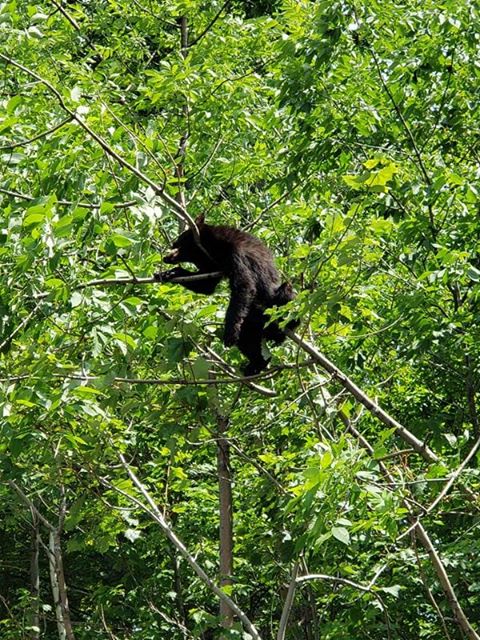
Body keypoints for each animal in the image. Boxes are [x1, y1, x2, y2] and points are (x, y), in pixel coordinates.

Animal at [156, 215, 296, 376]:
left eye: (180, 239)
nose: (168, 252)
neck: (212, 247)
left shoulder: (235, 253)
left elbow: (244, 285)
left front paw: (230, 332)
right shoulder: (213, 264)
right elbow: (206, 285)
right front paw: (168, 273)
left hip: (277, 302)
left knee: (288, 293)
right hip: (251, 322)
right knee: (247, 339)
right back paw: (255, 365)